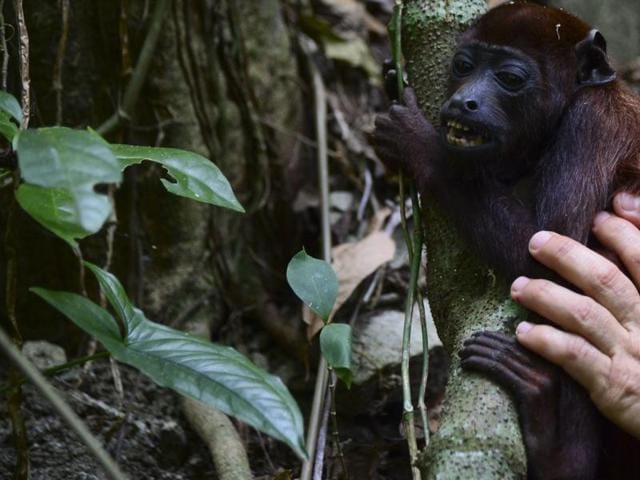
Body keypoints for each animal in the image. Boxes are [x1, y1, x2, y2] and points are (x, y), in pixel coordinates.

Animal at [373, 2, 640, 479]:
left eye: (510, 78)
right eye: (463, 66)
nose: (464, 100)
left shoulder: (591, 126)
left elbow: (550, 257)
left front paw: (420, 143)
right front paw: (390, 76)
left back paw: (554, 446)